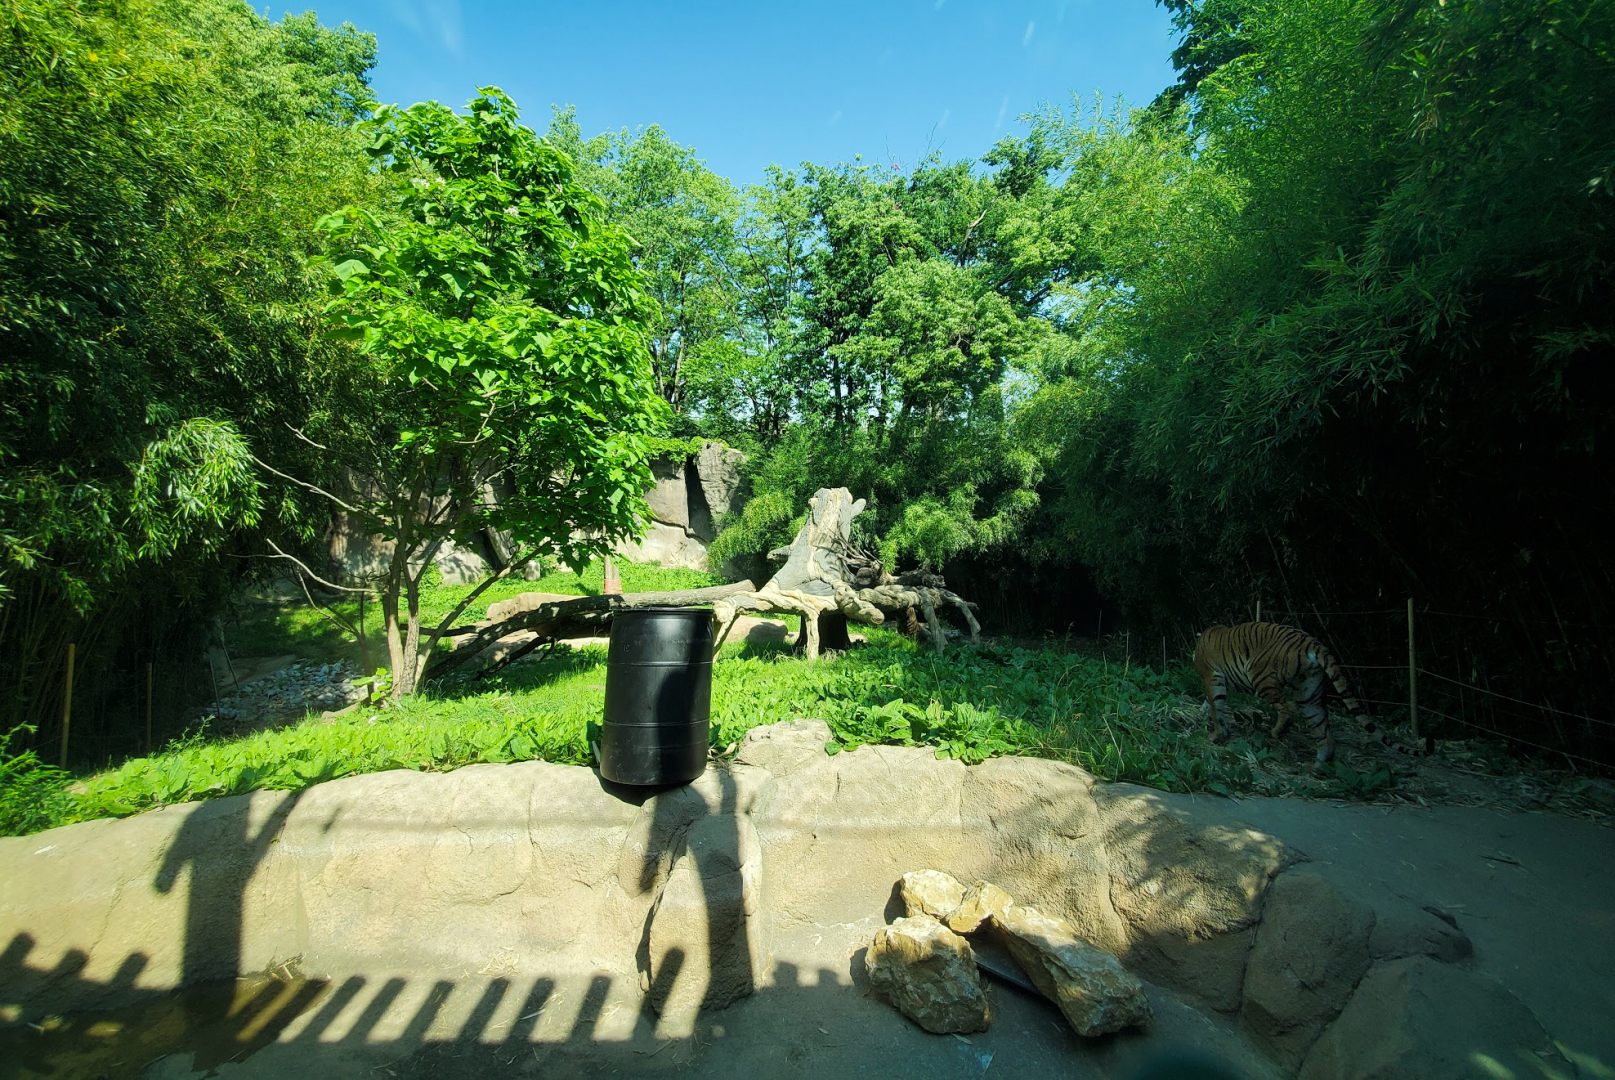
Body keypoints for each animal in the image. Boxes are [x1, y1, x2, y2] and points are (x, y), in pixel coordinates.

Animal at [1193, 622, 1430, 769]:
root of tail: (1313, 643)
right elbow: (1210, 704)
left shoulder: (1212, 677)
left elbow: (1215, 707)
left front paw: (1216, 735)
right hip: (1310, 693)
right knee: (1323, 731)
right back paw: (1318, 765)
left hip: (1261, 678)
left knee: (1288, 708)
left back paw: (1277, 732)